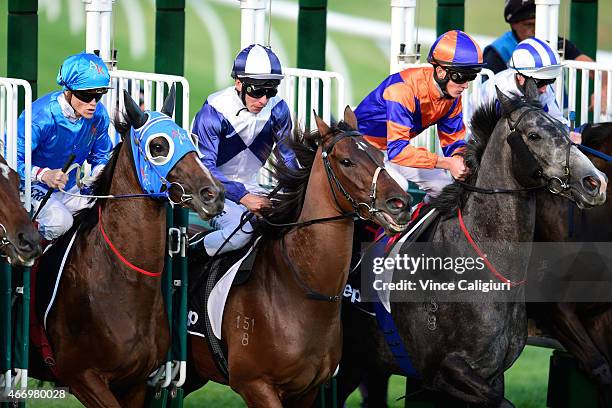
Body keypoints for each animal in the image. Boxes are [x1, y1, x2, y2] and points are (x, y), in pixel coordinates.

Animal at [184, 107, 414, 406]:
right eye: (346, 161)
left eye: (379, 154)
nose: (400, 203)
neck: (300, 291)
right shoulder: (254, 384)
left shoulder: (308, 389)